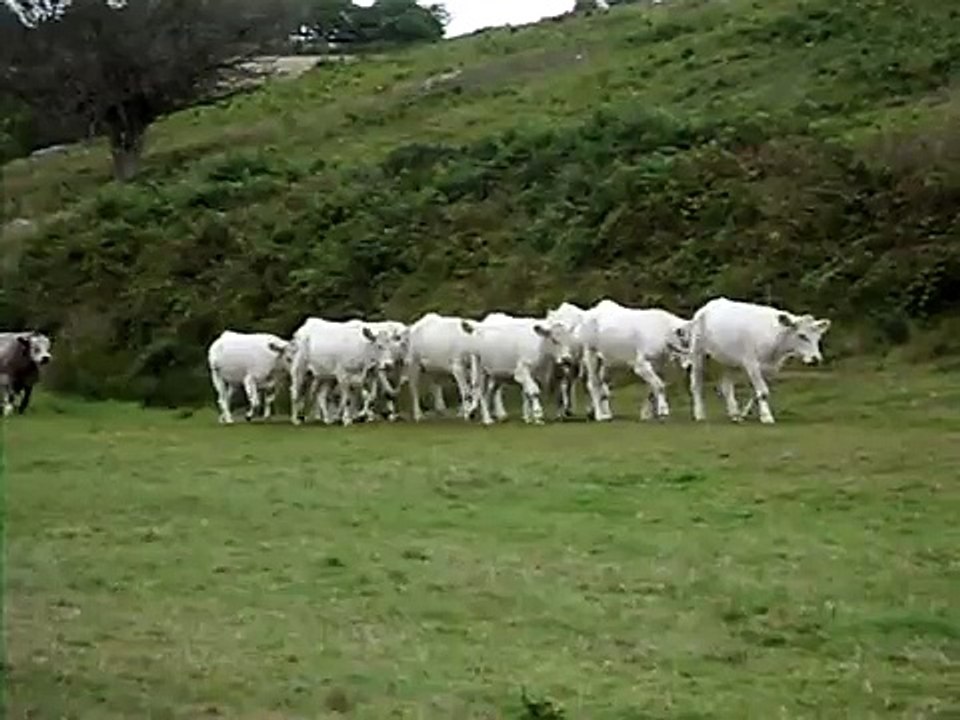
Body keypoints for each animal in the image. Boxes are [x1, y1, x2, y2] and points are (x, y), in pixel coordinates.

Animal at [687, 297, 832, 424]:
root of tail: (708, 305)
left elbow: (757, 392)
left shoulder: (771, 368)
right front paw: (767, 417)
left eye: (818, 337)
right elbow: (763, 391)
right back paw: (700, 414)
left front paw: (746, 414)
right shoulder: (752, 364)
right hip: (698, 353)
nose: (816, 359)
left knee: (726, 387)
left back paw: (735, 414)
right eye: (802, 336)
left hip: (729, 361)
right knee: (696, 385)